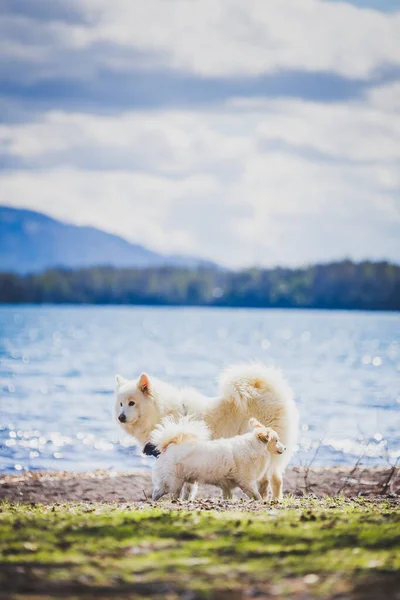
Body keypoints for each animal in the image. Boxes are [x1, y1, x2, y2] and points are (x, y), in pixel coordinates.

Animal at [152, 414, 286, 500]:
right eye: (276, 440)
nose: (285, 448)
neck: (254, 447)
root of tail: (170, 446)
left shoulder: (226, 486)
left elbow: (228, 496)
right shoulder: (246, 482)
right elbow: (256, 495)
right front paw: (261, 501)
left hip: (177, 482)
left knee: (157, 491)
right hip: (176, 481)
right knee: (173, 493)